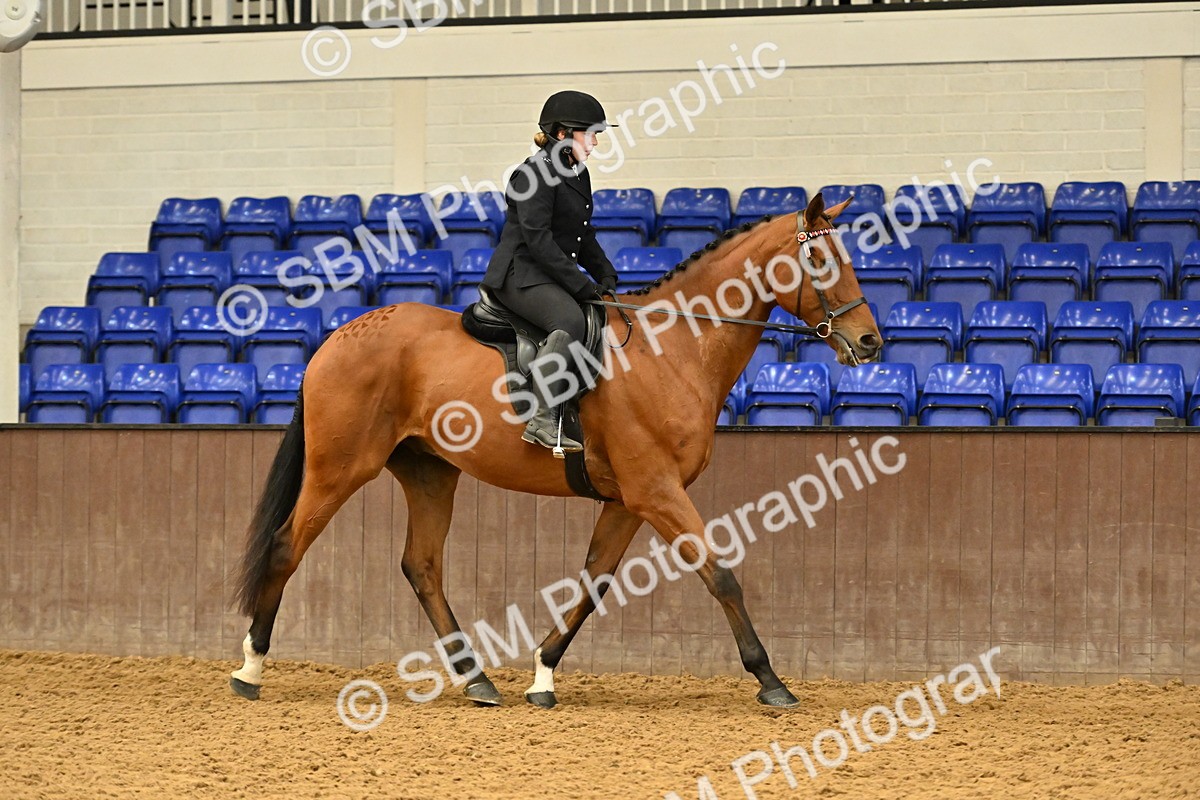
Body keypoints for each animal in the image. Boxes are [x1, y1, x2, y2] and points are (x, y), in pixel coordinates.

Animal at [229, 192, 882, 709]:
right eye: (819, 260)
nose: (871, 342)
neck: (672, 348)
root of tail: (339, 336)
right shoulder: (657, 491)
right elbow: (720, 575)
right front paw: (771, 680)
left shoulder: (628, 501)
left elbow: (593, 584)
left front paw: (542, 675)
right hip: (340, 469)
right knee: (288, 546)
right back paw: (250, 669)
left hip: (430, 473)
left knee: (422, 567)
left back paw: (477, 680)